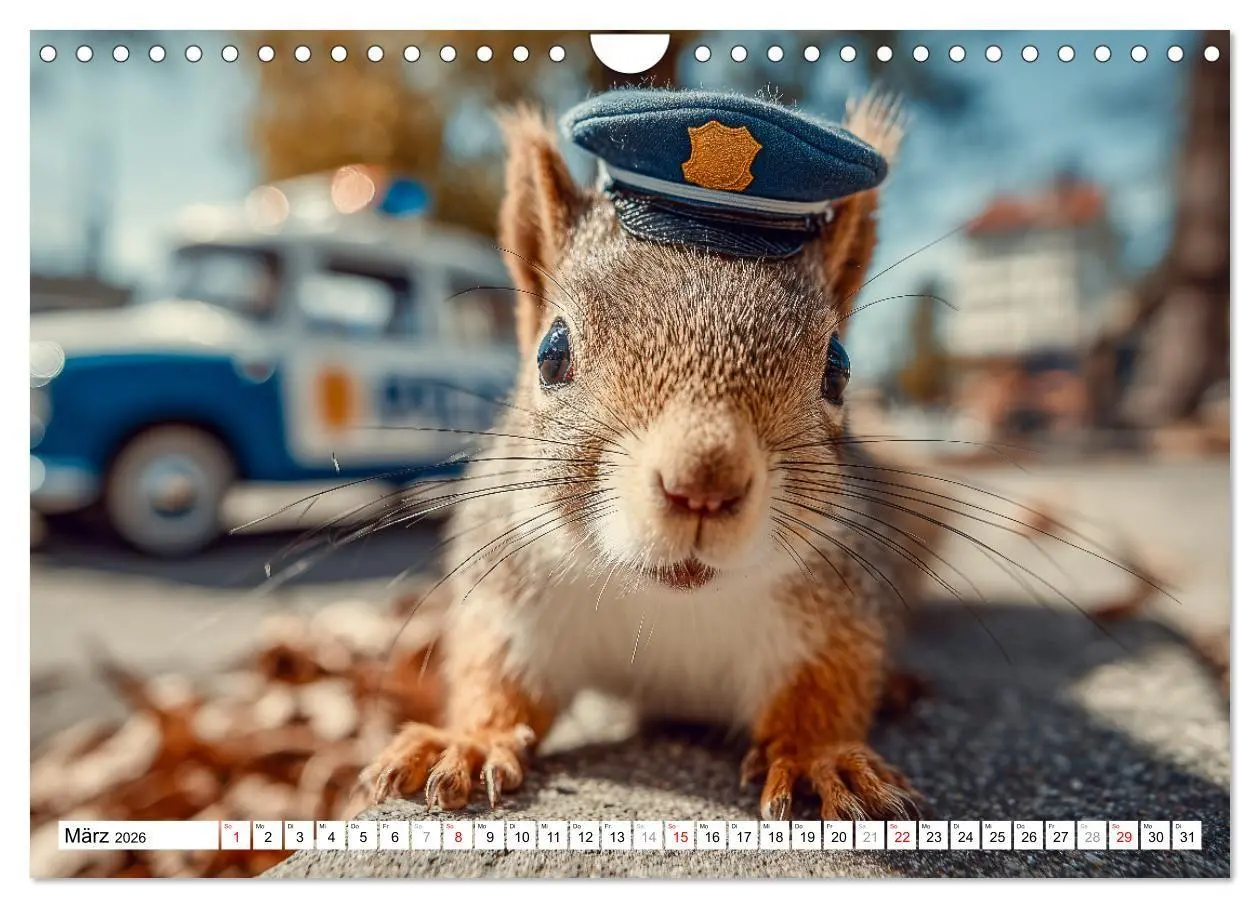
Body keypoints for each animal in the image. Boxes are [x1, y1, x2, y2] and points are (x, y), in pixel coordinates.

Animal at [359, 91, 944, 822]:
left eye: (838, 370)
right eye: (551, 353)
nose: (704, 483)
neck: (666, 602)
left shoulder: (834, 608)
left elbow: (828, 682)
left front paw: (821, 757)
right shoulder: (512, 599)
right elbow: (494, 674)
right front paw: (468, 740)